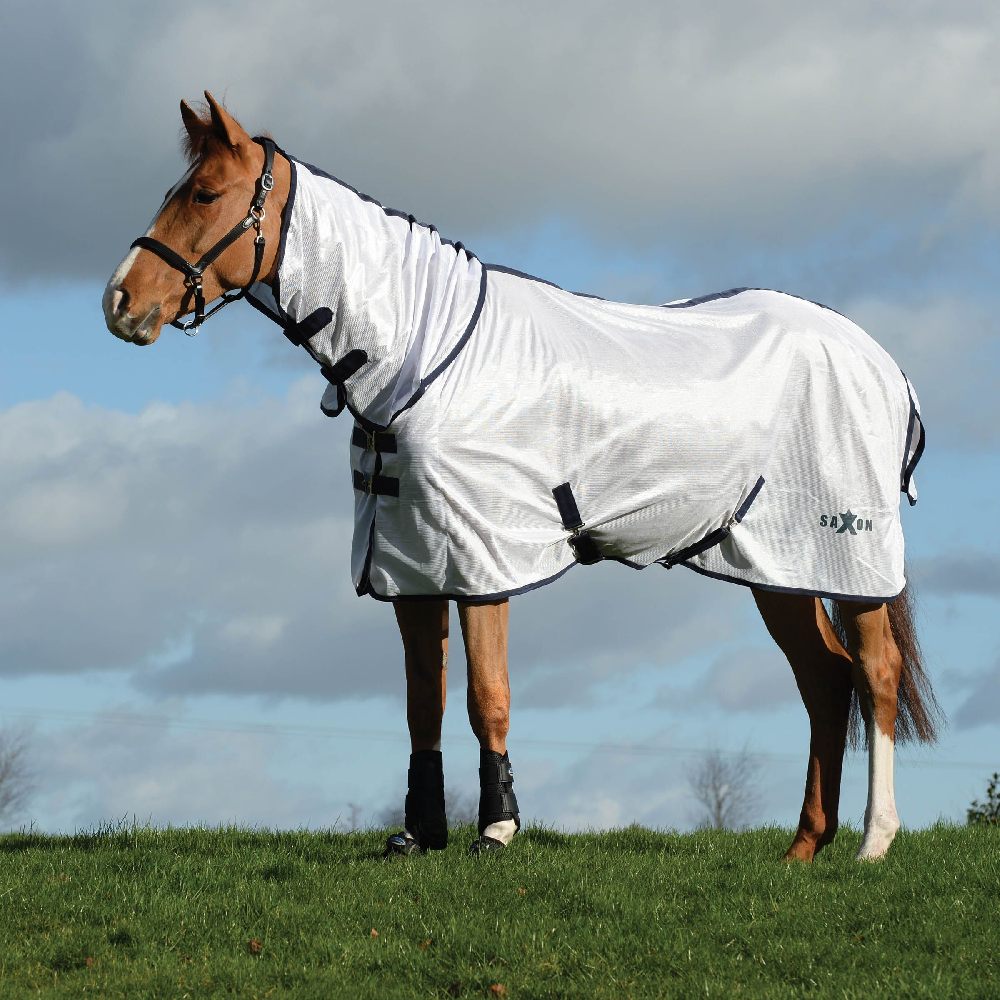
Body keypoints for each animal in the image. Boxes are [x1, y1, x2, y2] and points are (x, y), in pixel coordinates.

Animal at [101, 92, 936, 860]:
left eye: (205, 194)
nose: (120, 302)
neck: (424, 354)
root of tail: (885, 365)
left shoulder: (482, 558)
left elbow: (485, 696)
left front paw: (497, 827)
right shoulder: (410, 566)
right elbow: (423, 703)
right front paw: (419, 833)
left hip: (846, 556)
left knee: (875, 673)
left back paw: (873, 841)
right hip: (774, 565)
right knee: (825, 681)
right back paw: (802, 850)